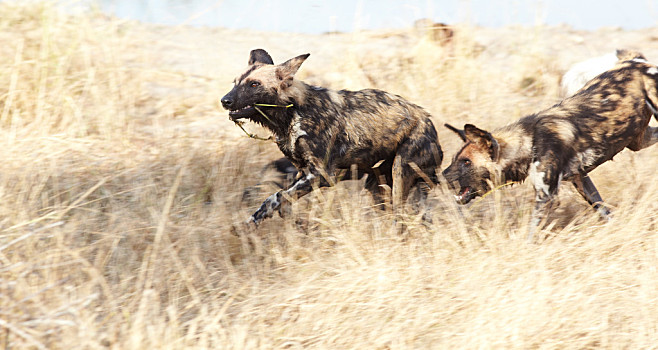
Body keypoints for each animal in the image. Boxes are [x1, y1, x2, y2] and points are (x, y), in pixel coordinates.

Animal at [223, 47, 444, 226]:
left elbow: (276, 196)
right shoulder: (303, 172)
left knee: (401, 218)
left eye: (254, 84)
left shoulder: (323, 174)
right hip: (377, 185)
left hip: (400, 175)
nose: (225, 100)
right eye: (234, 83)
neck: (292, 113)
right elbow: (279, 200)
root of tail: (429, 123)